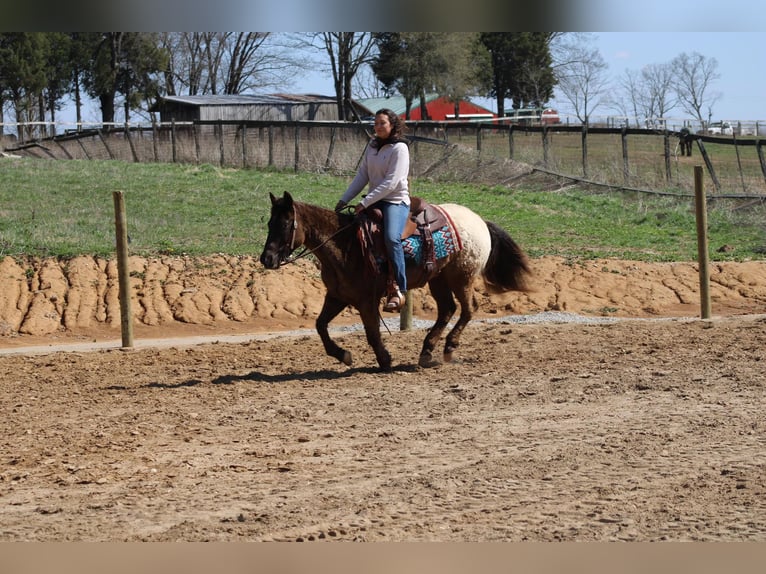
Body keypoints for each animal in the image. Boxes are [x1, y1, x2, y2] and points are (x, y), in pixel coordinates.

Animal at [260, 192, 532, 374]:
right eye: (269, 223)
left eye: (285, 224)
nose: (266, 259)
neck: (345, 245)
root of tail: (480, 221)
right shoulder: (337, 296)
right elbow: (320, 326)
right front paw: (343, 355)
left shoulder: (365, 301)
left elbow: (371, 333)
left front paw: (385, 359)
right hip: (439, 279)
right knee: (448, 309)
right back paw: (427, 351)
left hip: (461, 277)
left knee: (468, 309)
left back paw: (448, 347)